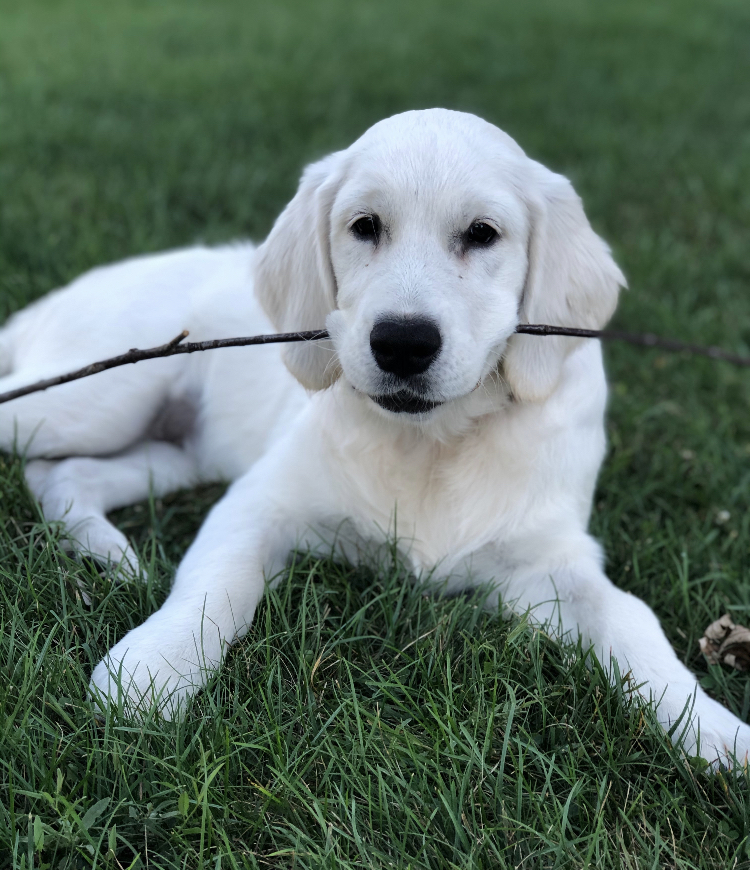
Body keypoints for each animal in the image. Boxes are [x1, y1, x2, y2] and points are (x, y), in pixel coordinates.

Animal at [2, 107, 748, 764]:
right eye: (364, 226)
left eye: (483, 234)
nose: (402, 343)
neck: (432, 440)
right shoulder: (259, 503)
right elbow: (216, 585)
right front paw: (152, 670)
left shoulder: (550, 560)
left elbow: (631, 623)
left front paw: (715, 732)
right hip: (97, 396)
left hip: (177, 451)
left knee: (63, 474)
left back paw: (111, 554)